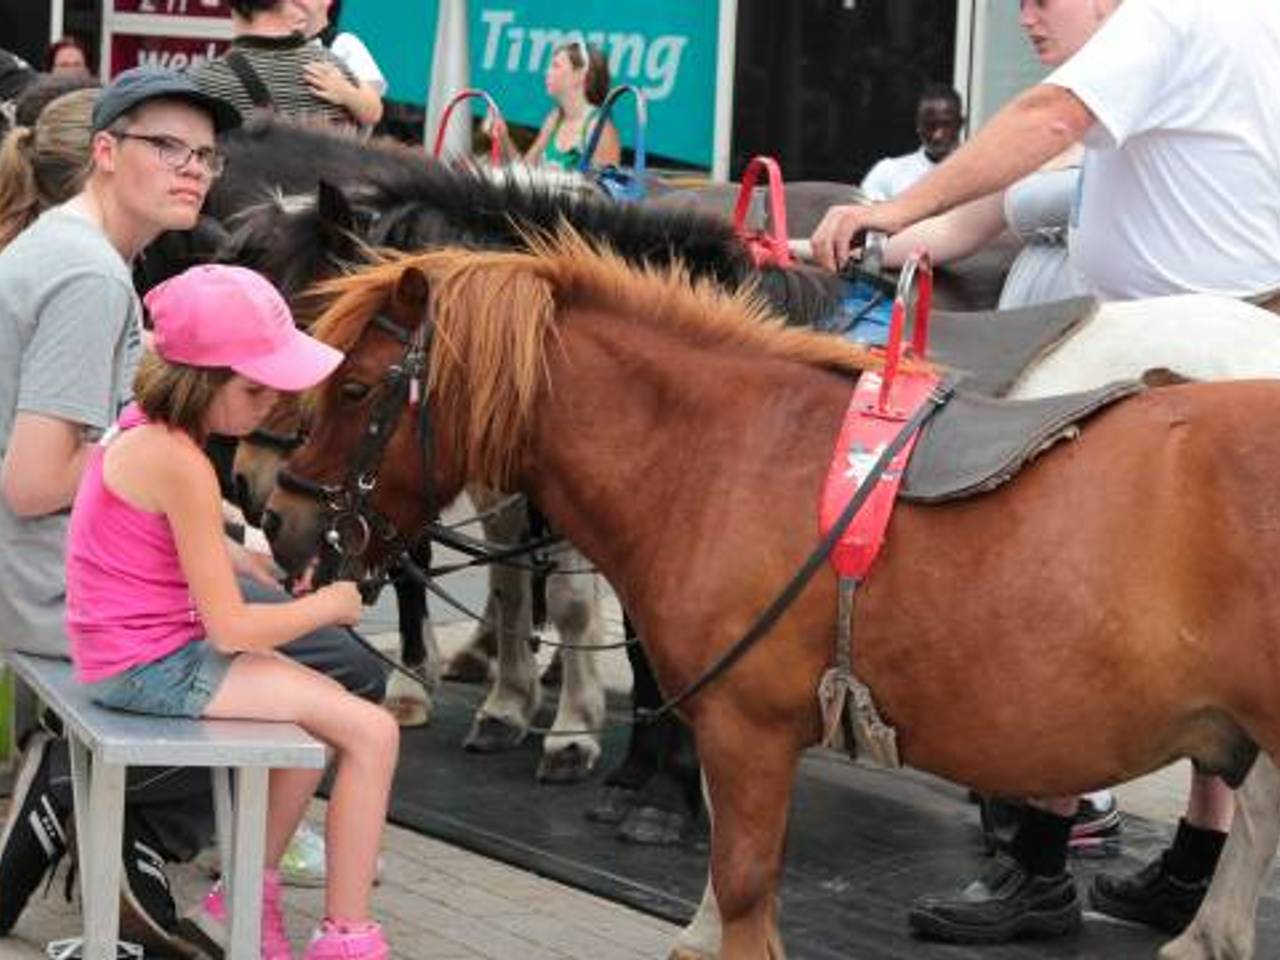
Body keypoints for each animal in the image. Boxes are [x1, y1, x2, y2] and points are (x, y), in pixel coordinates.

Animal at [262, 236, 1280, 959]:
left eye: (354, 387)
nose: (279, 518)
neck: (733, 450)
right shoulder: (729, 727)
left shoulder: (751, 730)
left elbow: (745, 892)